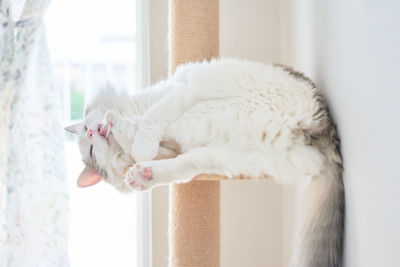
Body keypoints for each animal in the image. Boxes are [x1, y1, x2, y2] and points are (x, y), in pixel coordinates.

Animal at [65, 59, 344, 267]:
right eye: (91, 148)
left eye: (87, 130)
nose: (94, 131)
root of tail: (319, 124)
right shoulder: (169, 144)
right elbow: (144, 141)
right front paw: (132, 144)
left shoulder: (175, 93)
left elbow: (149, 122)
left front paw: (122, 128)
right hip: (231, 156)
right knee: (186, 165)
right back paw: (142, 175)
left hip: (210, 106)